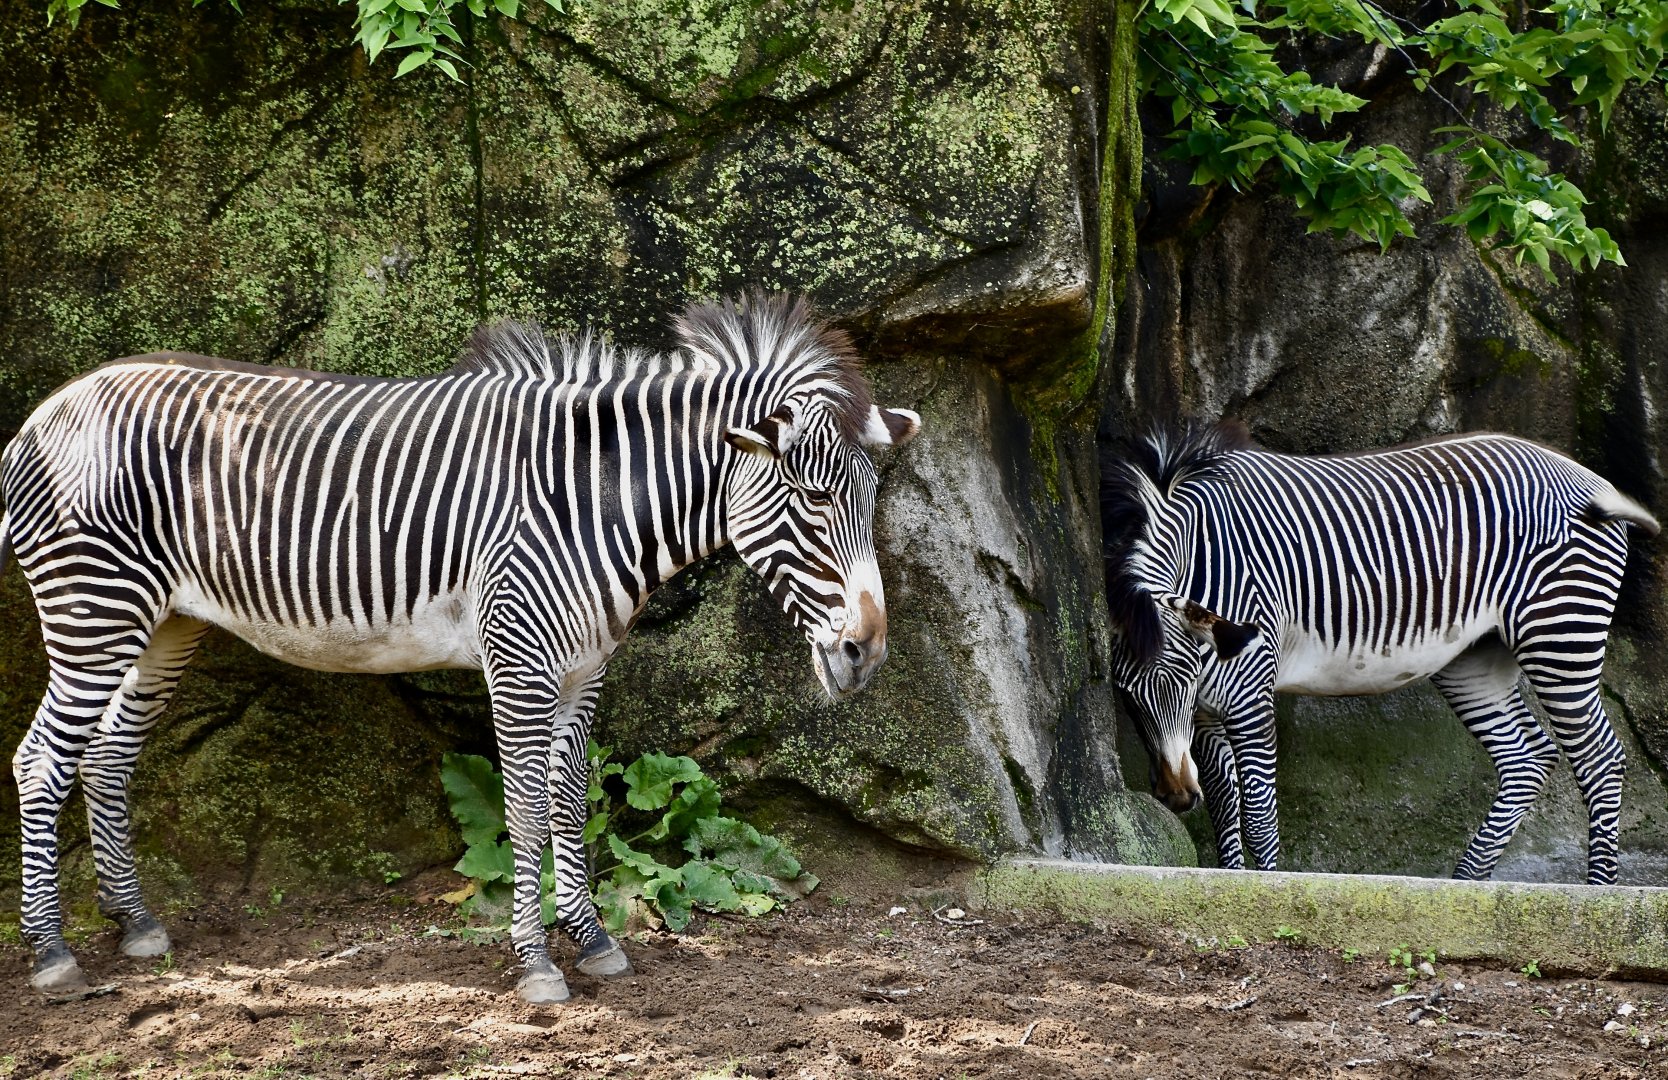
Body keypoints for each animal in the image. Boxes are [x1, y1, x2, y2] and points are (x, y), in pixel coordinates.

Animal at [4, 292, 921, 1003]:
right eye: (808, 498)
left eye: (869, 496)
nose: (867, 654)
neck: (594, 501)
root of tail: (45, 413)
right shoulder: (518, 658)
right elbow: (523, 807)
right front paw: (536, 963)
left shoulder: (584, 669)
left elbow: (566, 799)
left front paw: (592, 940)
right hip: (93, 610)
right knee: (42, 761)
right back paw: (52, 955)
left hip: (163, 623)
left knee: (106, 756)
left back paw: (136, 923)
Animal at [1100, 420, 1657, 885]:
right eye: (1125, 693)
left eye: (1185, 671)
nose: (1175, 796)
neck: (1205, 563)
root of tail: (1587, 477)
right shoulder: (1207, 713)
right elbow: (1224, 804)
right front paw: (1228, 879)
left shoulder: (1248, 690)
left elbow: (1258, 811)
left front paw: (1268, 886)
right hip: (1475, 659)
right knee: (1527, 756)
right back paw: (1465, 884)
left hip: (1560, 632)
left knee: (1600, 756)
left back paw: (1597, 890)